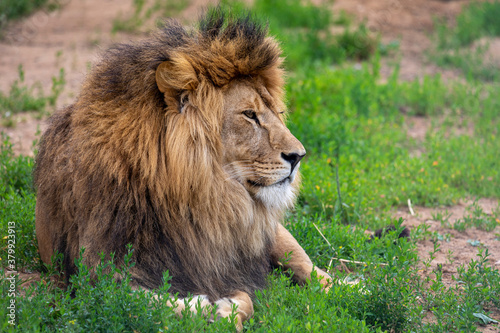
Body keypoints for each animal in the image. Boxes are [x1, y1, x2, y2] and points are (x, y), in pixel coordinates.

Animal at [34, 7, 332, 330]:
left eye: (277, 113)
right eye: (250, 115)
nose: (298, 156)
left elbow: (247, 298)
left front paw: (224, 309)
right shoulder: (101, 272)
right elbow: (158, 304)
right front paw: (213, 310)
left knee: (315, 272)